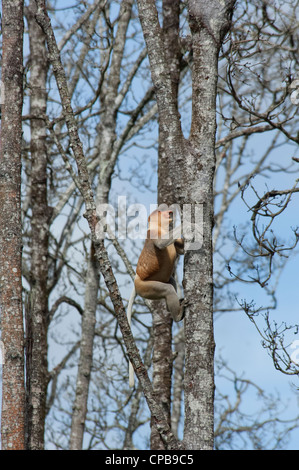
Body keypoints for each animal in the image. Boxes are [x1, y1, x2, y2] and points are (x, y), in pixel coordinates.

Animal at [126, 211, 185, 388]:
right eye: (163, 213)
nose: (171, 213)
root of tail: (137, 278)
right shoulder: (153, 234)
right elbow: (161, 244)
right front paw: (190, 223)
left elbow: (180, 250)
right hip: (146, 287)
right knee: (167, 289)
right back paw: (178, 314)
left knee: (171, 282)